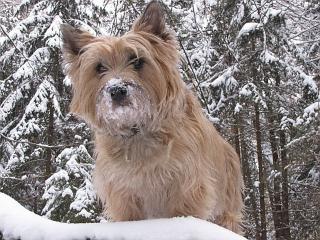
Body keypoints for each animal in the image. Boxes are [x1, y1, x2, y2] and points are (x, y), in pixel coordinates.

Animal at [61, 0, 244, 234]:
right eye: (99, 67)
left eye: (137, 61)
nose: (117, 90)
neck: (138, 130)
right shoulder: (124, 194)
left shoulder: (187, 186)